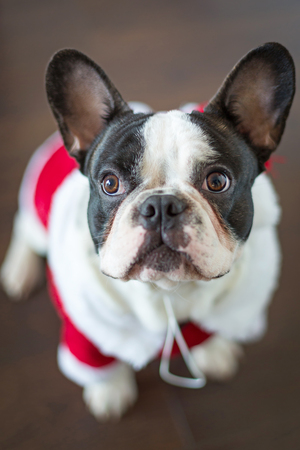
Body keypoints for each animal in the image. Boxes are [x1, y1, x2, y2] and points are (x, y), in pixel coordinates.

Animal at [0, 41, 296, 418]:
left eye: (217, 181)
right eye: (110, 183)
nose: (161, 206)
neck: (166, 291)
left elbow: (205, 327)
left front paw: (211, 350)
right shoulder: (86, 330)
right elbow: (97, 361)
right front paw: (110, 389)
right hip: (37, 214)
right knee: (24, 226)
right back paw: (19, 271)